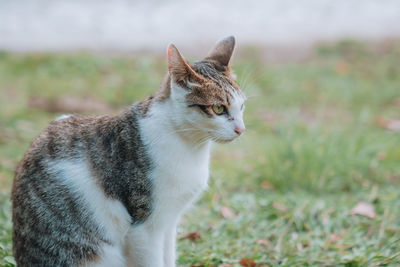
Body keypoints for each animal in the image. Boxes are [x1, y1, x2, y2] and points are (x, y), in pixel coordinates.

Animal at [11, 36, 244, 267]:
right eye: (218, 109)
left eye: (241, 107)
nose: (241, 130)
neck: (189, 144)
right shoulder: (145, 228)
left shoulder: (169, 223)